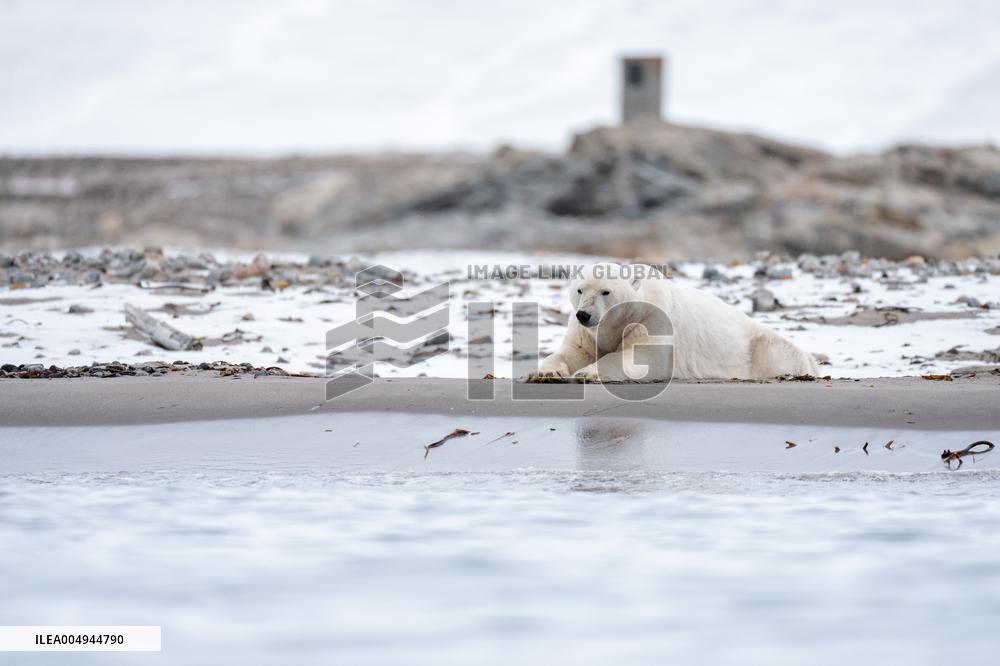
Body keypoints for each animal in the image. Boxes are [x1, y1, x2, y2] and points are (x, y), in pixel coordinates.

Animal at [527, 263, 819, 382]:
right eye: (580, 290)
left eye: (605, 292)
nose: (584, 314)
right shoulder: (588, 332)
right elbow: (575, 351)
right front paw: (548, 372)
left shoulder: (651, 318)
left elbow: (641, 357)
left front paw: (588, 373)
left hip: (758, 346)